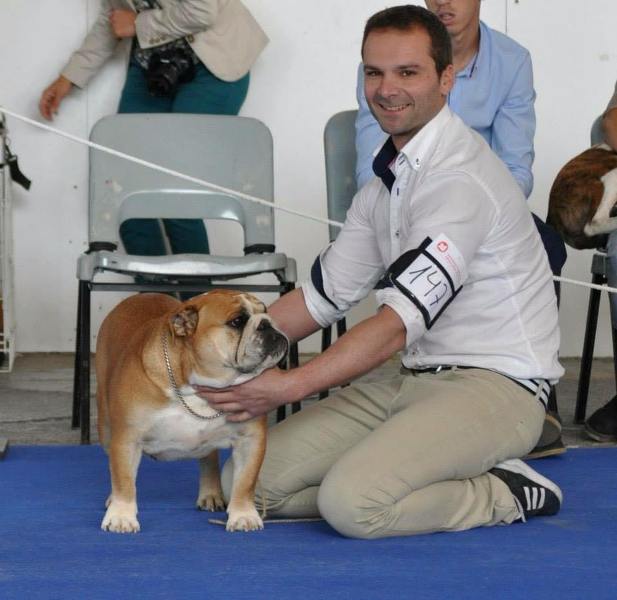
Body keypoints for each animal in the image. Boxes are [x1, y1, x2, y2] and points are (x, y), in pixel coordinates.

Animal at [95, 290, 288, 534]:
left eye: (265, 312)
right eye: (237, 321)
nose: (267, 323)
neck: (196, 387)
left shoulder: (250, 439)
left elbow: (245, 481)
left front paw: (244, 514)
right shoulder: (127, 439)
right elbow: (123, 479)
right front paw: (121, 516)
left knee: (209, 457)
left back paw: (211, 494)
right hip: (106, 428)